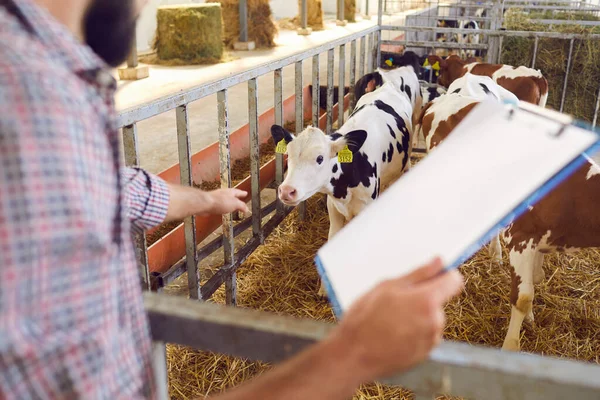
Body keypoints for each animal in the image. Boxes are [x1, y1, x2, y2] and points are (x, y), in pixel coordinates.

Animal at [272, 66, 422, 296]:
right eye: (288, 156)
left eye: (320, 158)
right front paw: (325, 289)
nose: (286, 191)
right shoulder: (333, 207)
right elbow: (333, 238)